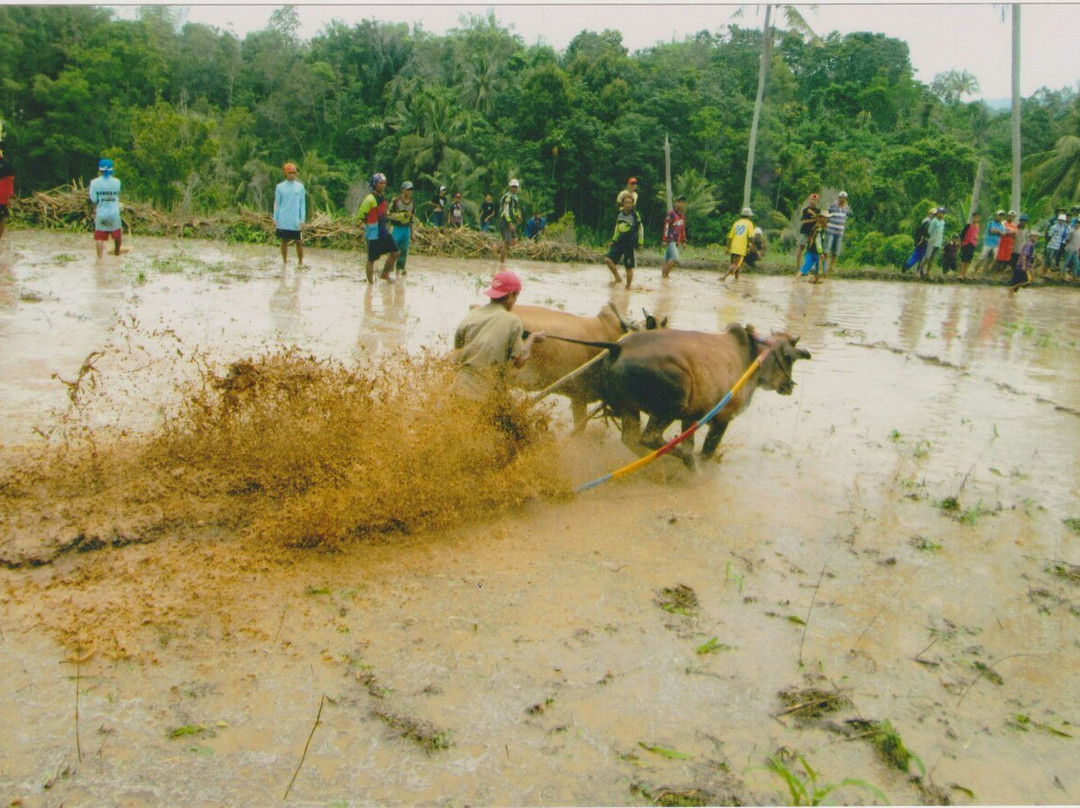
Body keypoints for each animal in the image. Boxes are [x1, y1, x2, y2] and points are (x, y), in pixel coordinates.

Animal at [574, 324, 812, 470]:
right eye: (790, 358)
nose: (789, 386)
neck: (752, 357)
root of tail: (619, 346)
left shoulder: (690, 418)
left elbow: (690, 441)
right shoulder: (723, 416)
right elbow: (707, 450)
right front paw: (699, 462)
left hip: (628, 407)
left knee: (631, 440)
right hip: (671, 404)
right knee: (649, 438)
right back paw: (687, 462)